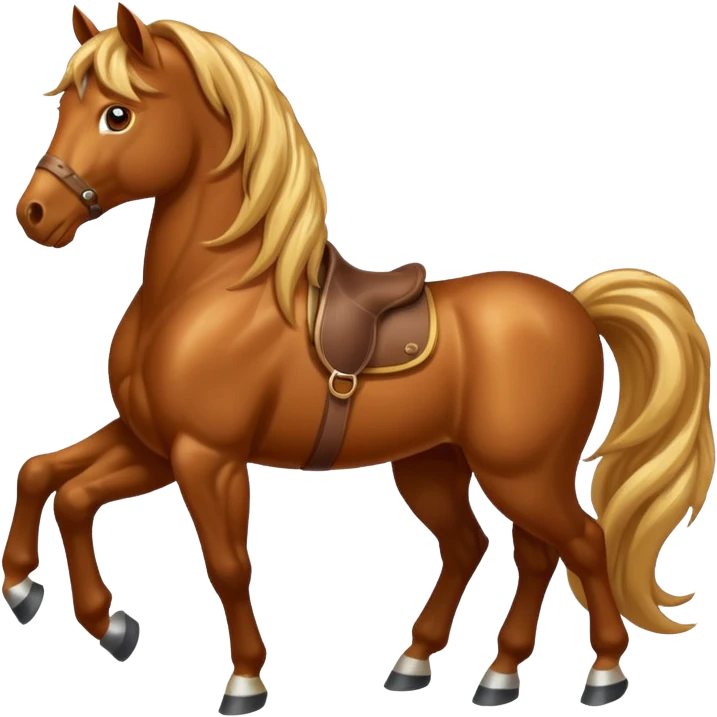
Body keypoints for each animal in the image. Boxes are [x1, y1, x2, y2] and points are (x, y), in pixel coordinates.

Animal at [5, 4, 715, 715]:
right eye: (65, 104)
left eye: (117, 114)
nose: (34, 213)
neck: (209, 291)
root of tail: (576, 308)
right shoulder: (153, 442)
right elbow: (53, 482)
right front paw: (71, 608)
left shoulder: (207, 455)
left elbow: (227, 563)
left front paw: (243, 679)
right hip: (439, 465)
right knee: (492, 548)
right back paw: (455, 668)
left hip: (522, 473)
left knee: (580, 542)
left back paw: (601, 673)